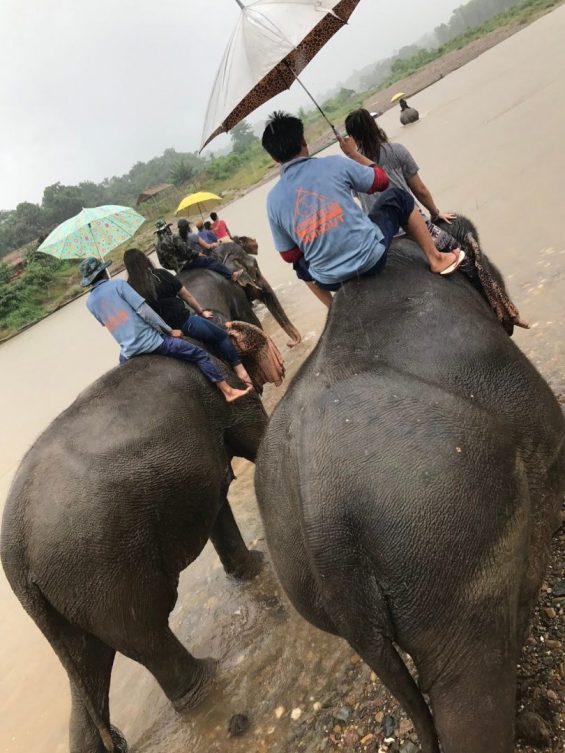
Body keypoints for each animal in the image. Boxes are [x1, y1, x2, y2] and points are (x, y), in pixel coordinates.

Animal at [1, 354, 268, 752]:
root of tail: (17, 555)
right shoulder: (228, 393)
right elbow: (257, 442)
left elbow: (219, 498)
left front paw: (255, 567)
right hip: (101, 569)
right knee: (145, 634)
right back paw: (209, 677)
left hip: (65, 594)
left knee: (88, 665)